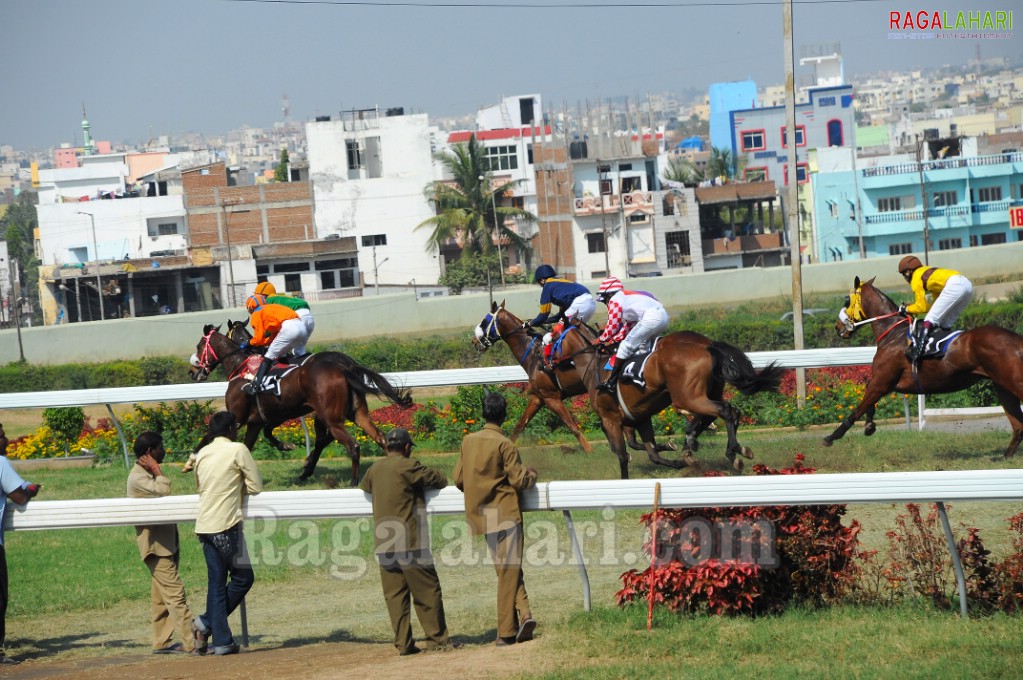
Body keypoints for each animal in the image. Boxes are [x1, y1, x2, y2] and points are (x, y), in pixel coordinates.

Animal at [190, 323, 413, 482]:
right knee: (379, 438)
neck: (241, 368)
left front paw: (191, 462)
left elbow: (208, 434)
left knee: (350, 445)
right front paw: (285, 446)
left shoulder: (236, 418)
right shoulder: (259, 421)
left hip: (329, 417)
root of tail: (345, 367)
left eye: (199, 346)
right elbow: (254, 441)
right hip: (356, 413)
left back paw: (348, 481)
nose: (193, 372)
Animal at [822, 274, 1023, 456]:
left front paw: (831, 437)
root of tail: (1017, 340)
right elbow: (867, 401)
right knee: (1018, 425)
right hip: (1002, 386)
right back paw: (1004, 457)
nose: (838, 327)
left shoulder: (881, 382)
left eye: (847, 300)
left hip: (1013, 383)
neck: (894, 334)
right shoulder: (884, 383)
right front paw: (869, 425)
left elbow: (857, 409)